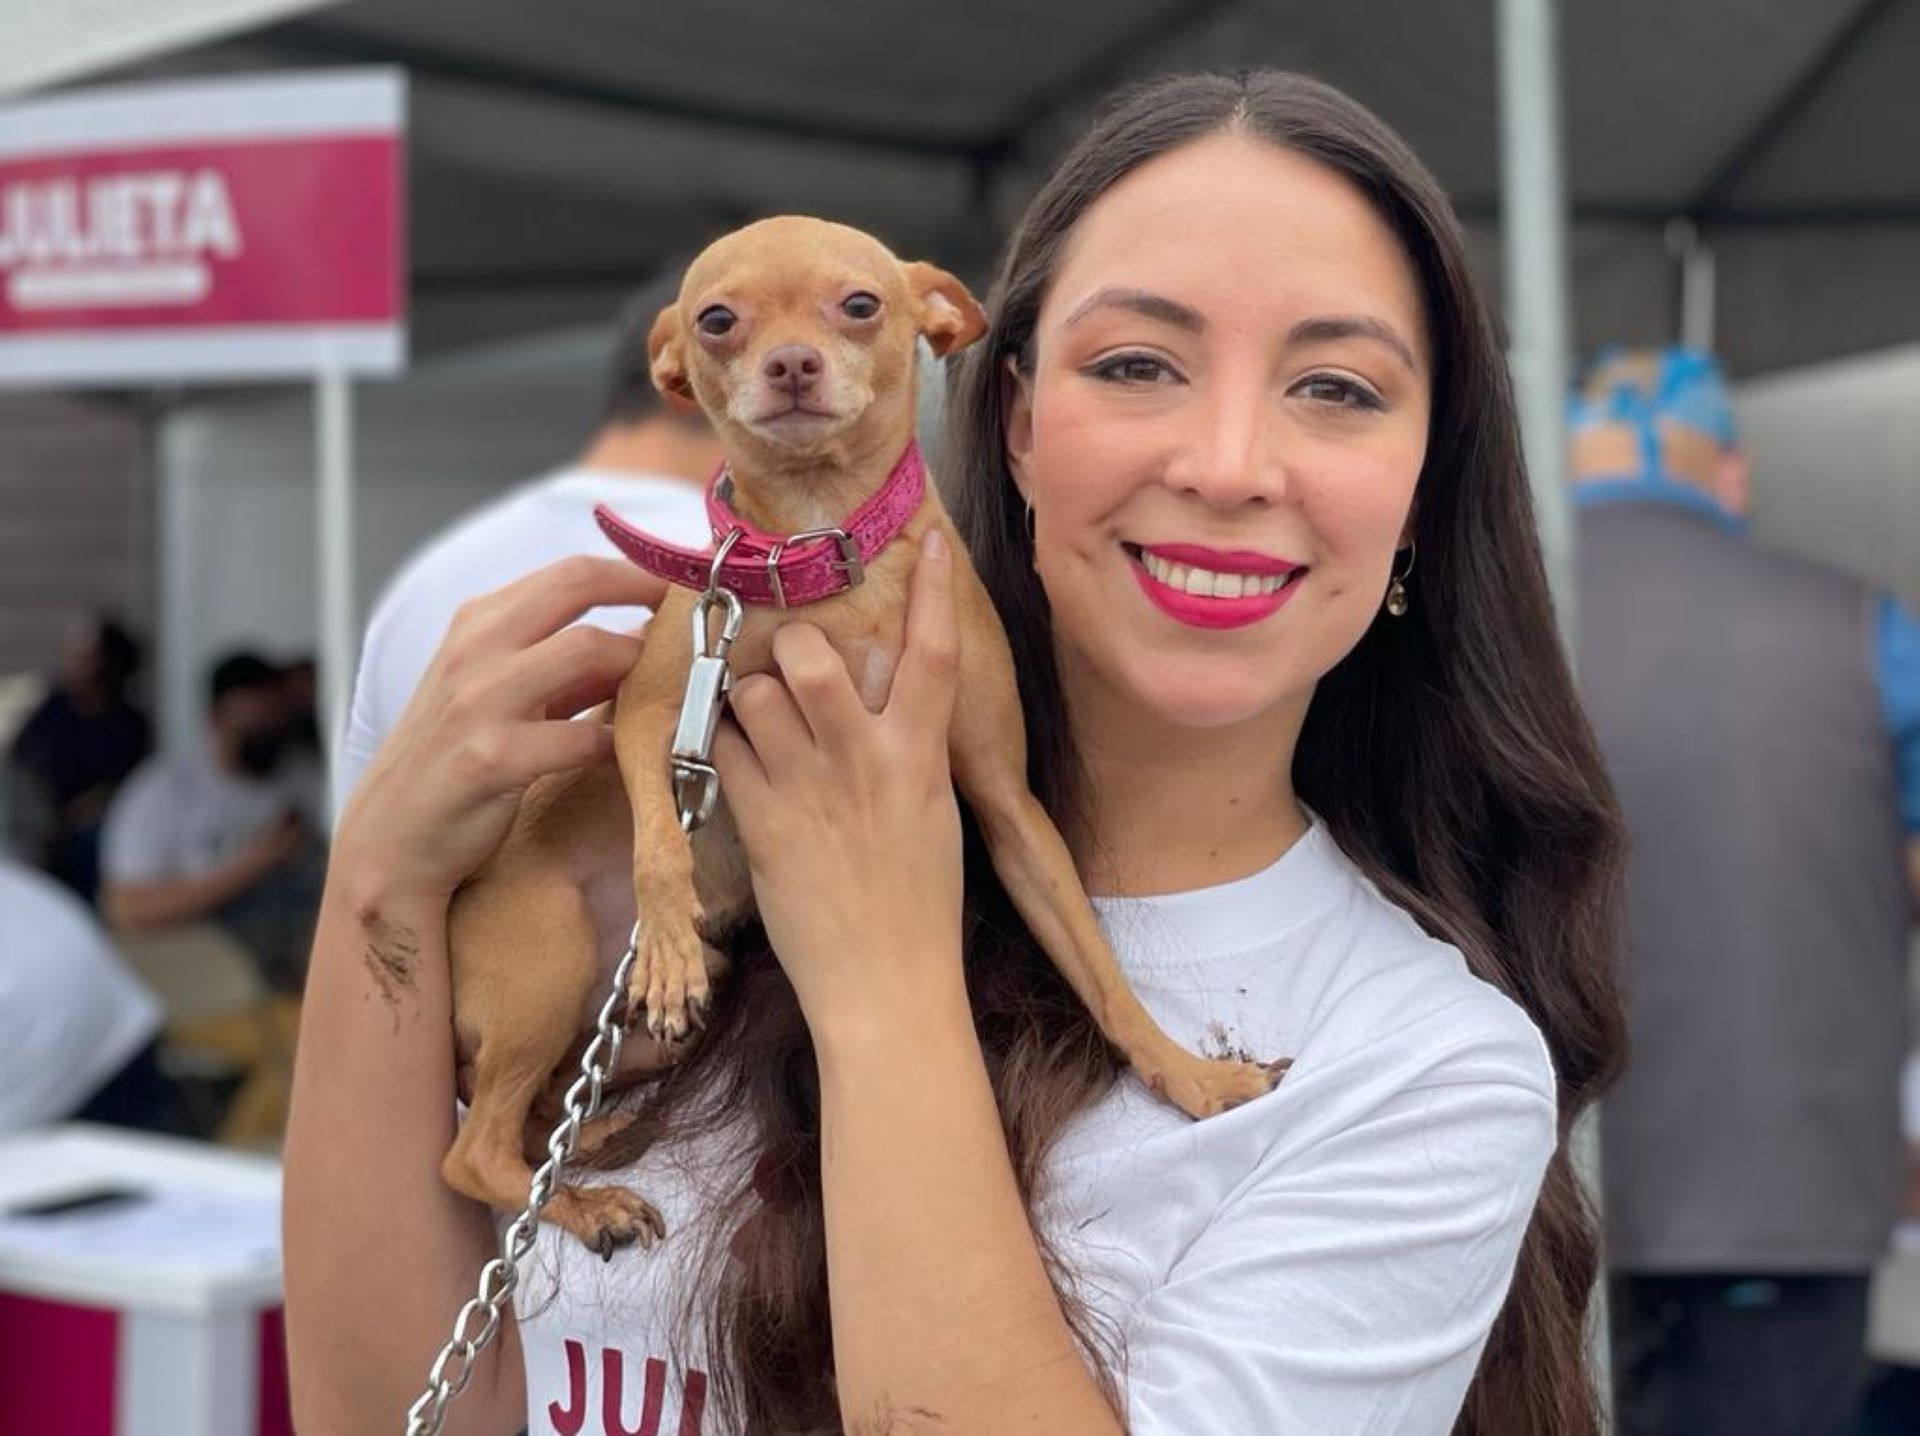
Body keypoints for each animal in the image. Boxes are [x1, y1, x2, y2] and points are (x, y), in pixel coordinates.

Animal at [443, 215, 1282, 1259]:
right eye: (717, 320)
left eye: (859, 304)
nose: (792, 363)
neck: (820, 547)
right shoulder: (650, 713)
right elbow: (658, 846)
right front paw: (669, 945)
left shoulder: (1007, 804)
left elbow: (1098, 967)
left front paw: (1187, 1073)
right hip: (548, 964)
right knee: (472, 1149)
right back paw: (593, 1188)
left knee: (531, 1117)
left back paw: (587, 1146)